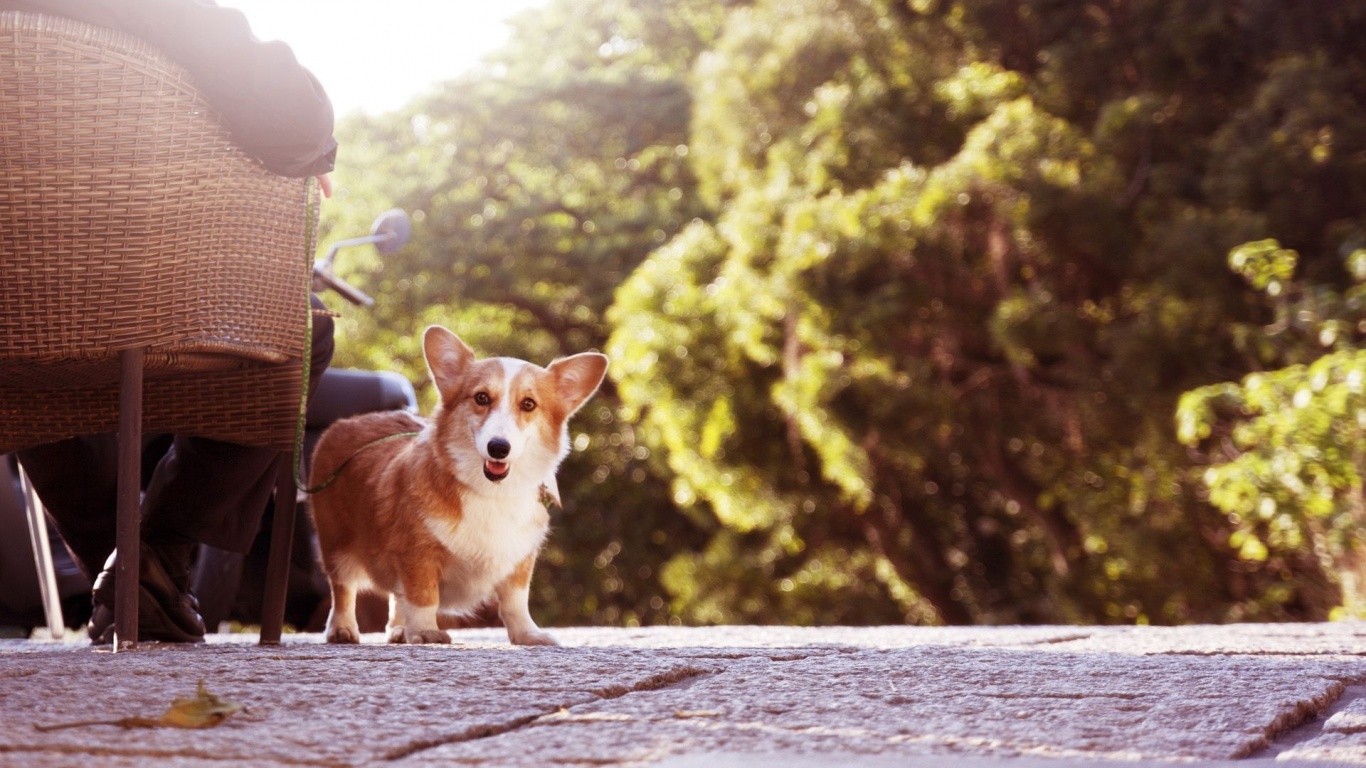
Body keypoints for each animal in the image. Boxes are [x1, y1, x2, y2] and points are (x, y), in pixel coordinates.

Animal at [312, 322, 611, 639]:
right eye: (481, 398)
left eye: (529, 404)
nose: (498, 448)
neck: (492, 494)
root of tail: (350, 421)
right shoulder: (416, 553)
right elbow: (422, 596)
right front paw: (426, 632)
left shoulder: (520, 559)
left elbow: (516, 602)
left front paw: (528, 635)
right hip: (336, 546)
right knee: (343, 589)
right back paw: (343, 629)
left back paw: (399, 630)